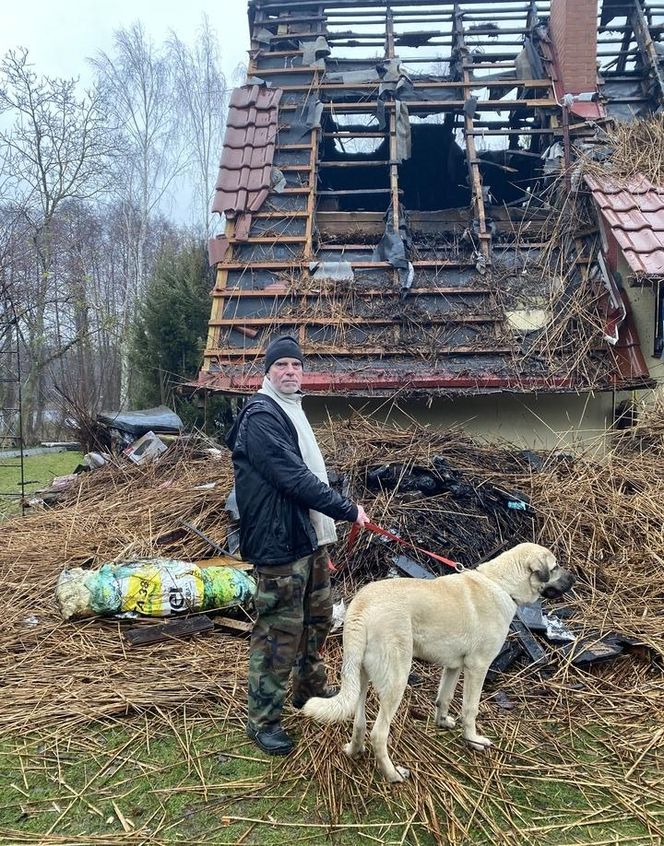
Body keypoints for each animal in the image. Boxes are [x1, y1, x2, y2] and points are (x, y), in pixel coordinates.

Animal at [304, 548, 572, 784]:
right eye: (555, 566)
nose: (574, 579)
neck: (501, 583)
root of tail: (361, 606)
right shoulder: (477, 667)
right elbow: (470, 709)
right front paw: (473, 740)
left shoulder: (453, 667)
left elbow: (444, 697)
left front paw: (442, 722)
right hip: (396, 681)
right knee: (378, 735)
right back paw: (392, 775)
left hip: (361, 678)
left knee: (358, 722)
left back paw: (353, 751)